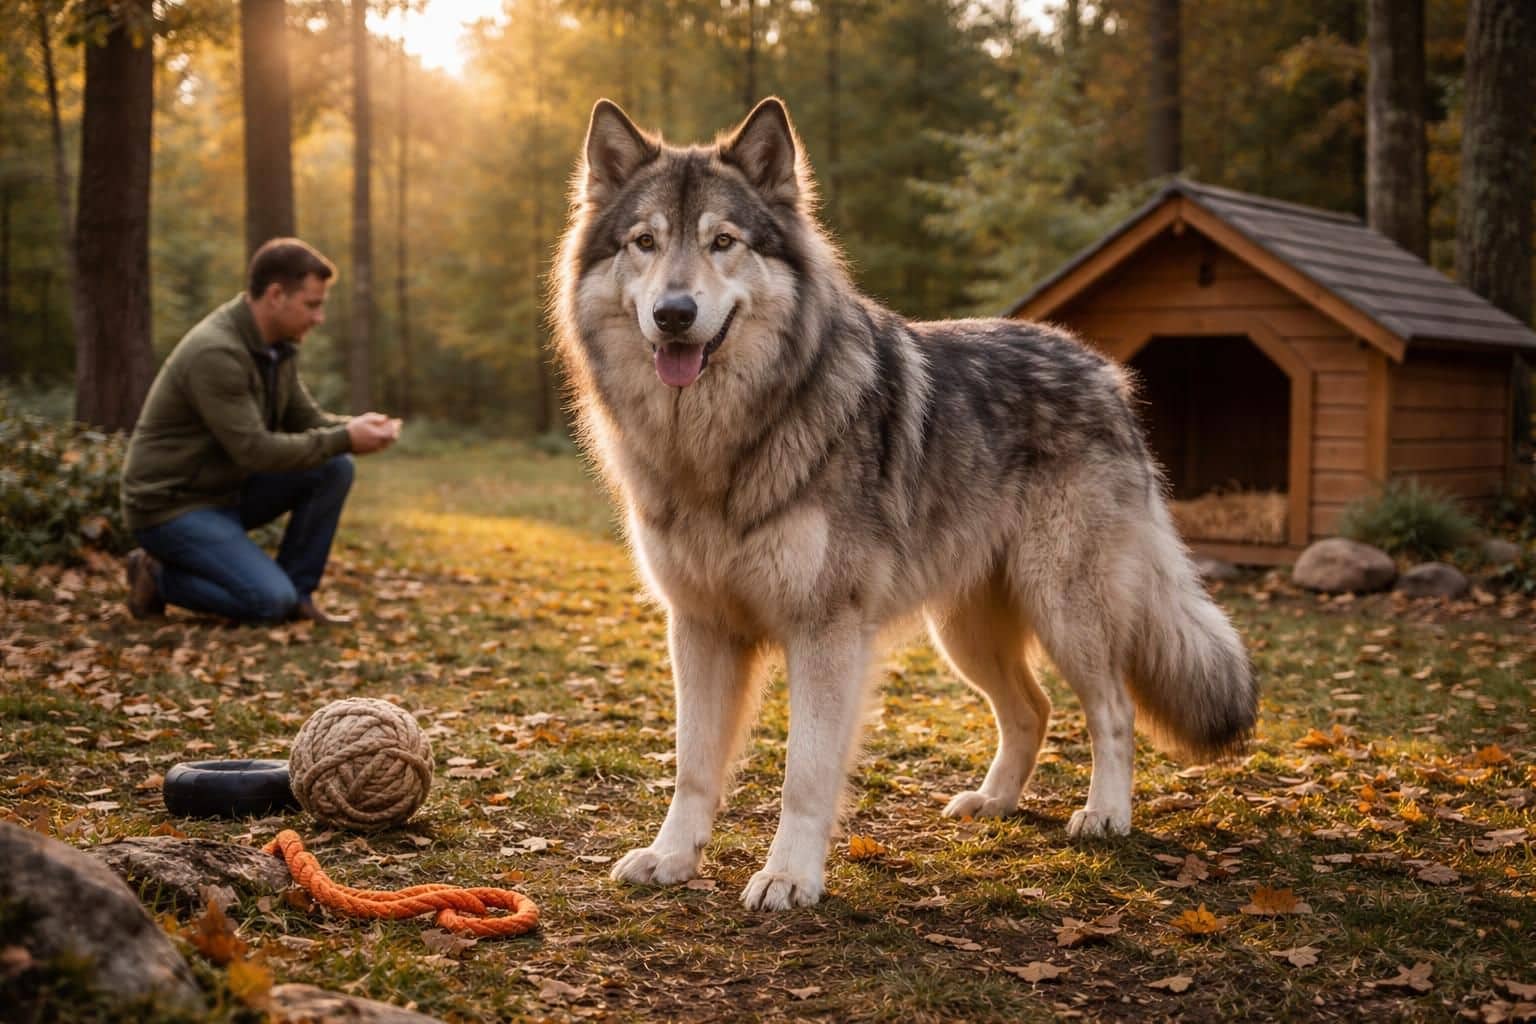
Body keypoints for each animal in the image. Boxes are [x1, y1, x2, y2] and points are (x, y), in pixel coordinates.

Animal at [551, 97, 1257, 911]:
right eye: (645, 243)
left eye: (722, 242)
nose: (673, 312)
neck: (722, 445)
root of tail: (1103, 371)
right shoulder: (697, 626)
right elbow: (694, 766)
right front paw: (671, 858)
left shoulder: (825, 631)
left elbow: (804, 774)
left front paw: (789, 876)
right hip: (965, 634)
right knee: (1033, 710)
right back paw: (993, 803)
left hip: (1063, 610)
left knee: (1111, 709)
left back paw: (1105, 815)